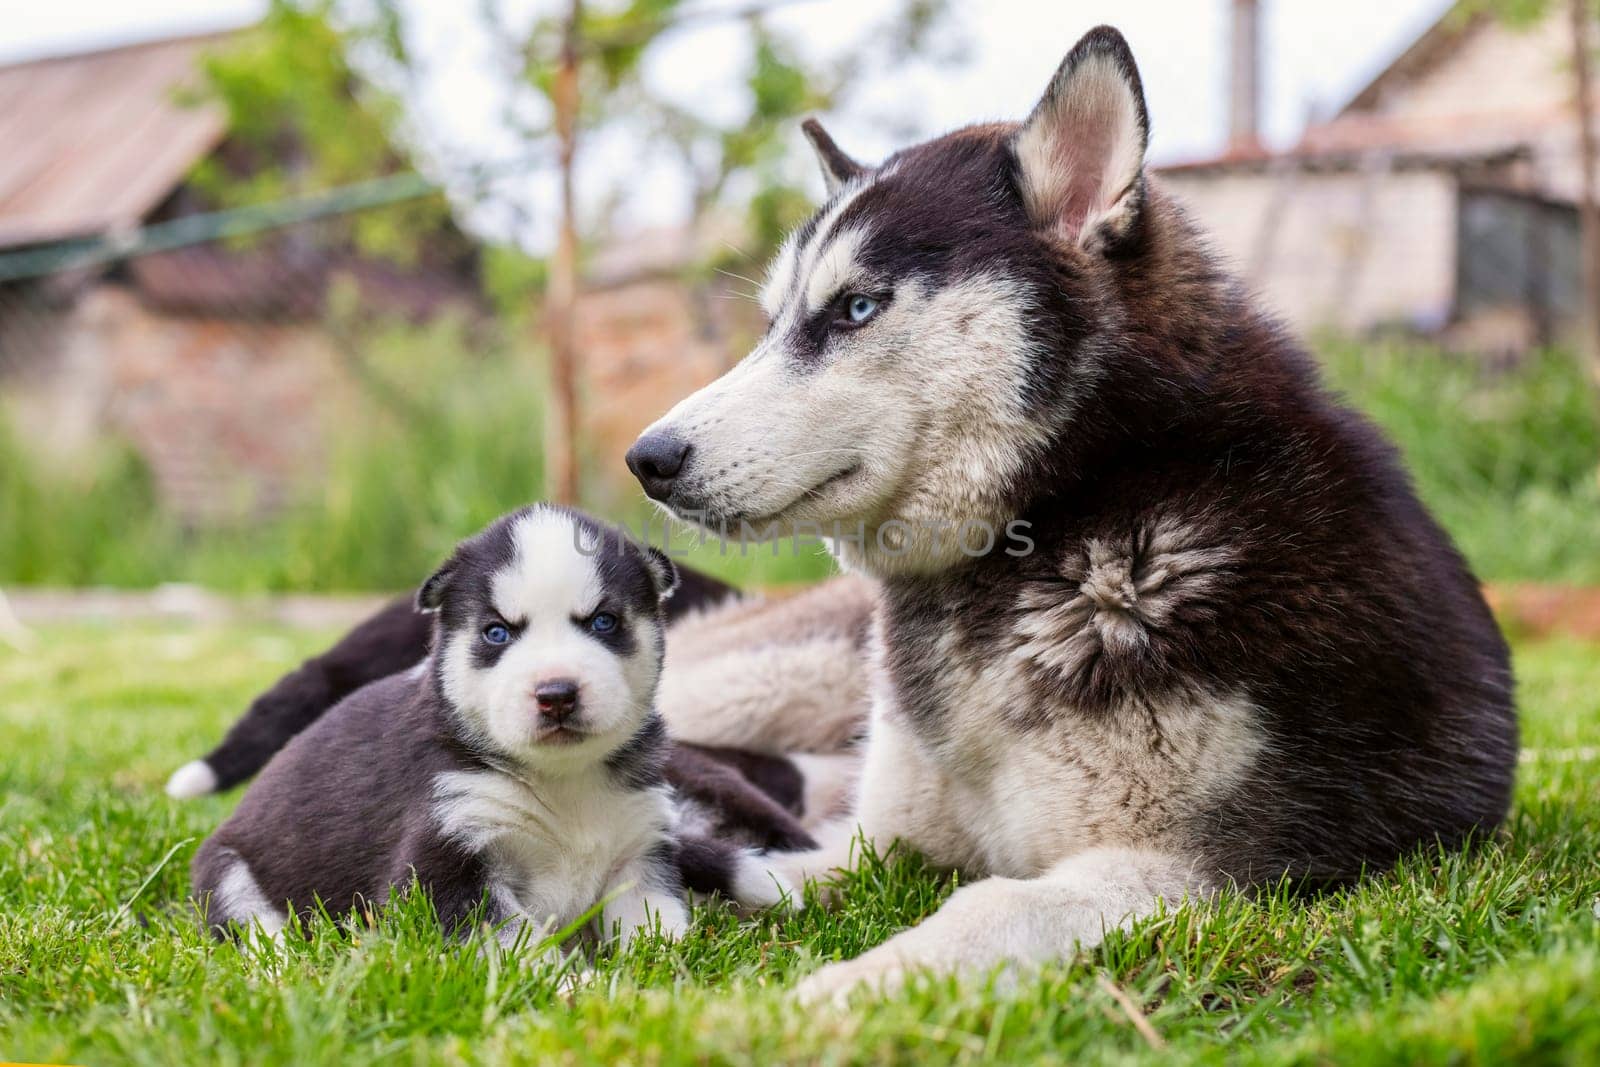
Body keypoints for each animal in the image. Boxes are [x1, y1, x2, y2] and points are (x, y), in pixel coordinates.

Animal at [620, 24, 1510, 1004]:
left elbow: (986, 906)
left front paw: (818, 1000)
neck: (1070, 512)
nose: (649, 458)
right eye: (774, 322)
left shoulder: (1184, 873)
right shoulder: (876, 842)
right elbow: (774, 866)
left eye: (855, 308)